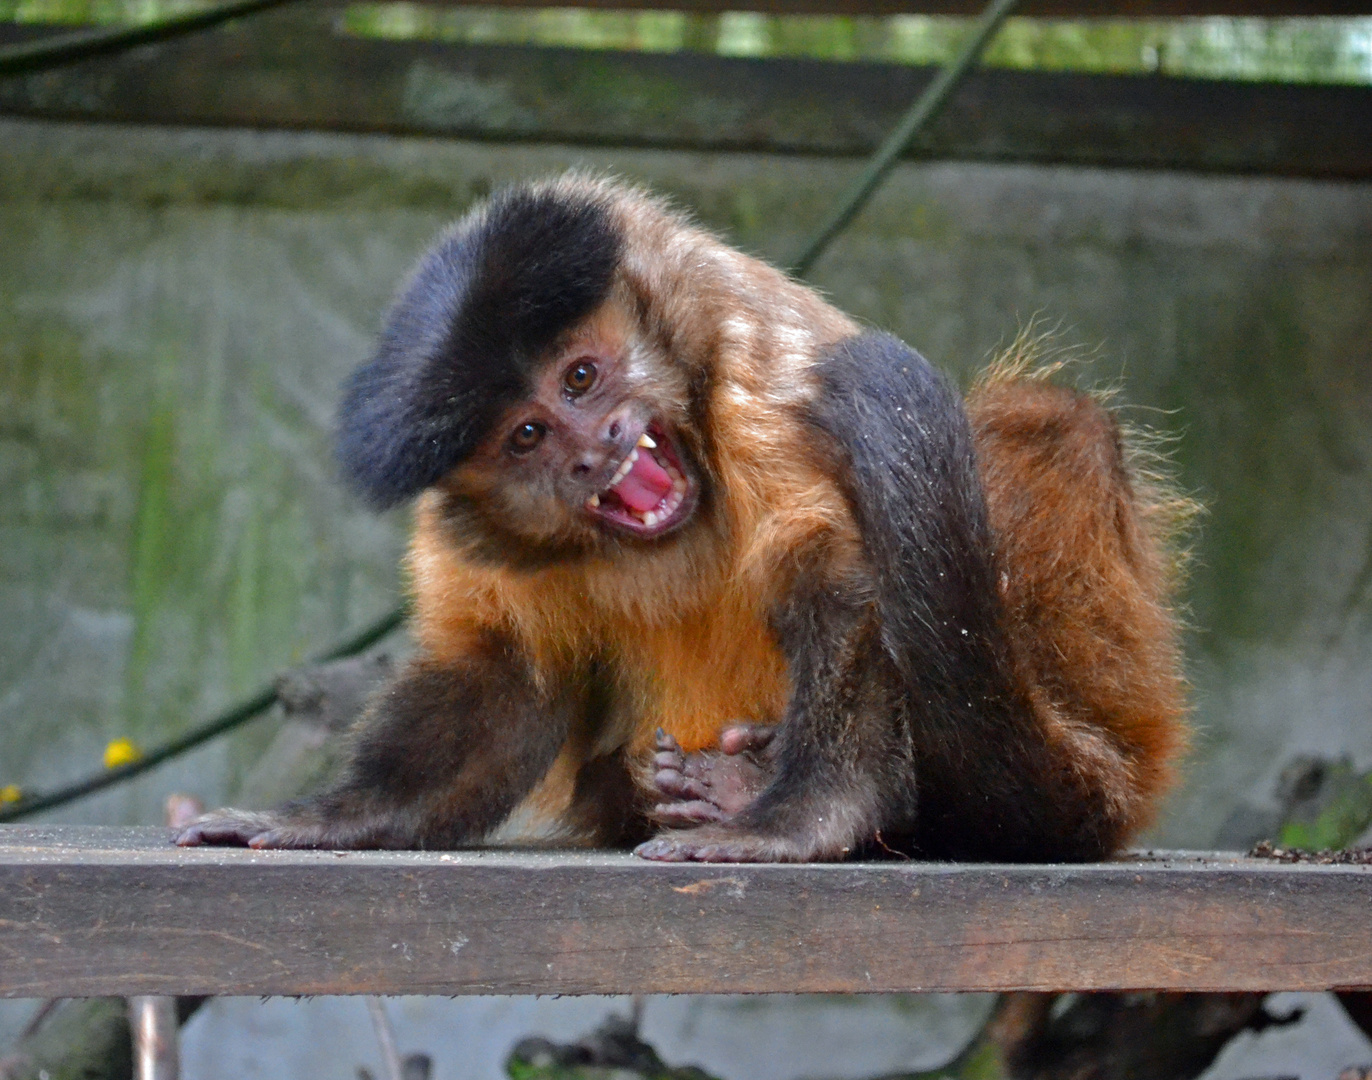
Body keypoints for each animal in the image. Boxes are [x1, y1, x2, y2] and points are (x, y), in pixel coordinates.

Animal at [179, 172, 1190, 867]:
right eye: (528, 436)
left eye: (583, 377)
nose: (597, 448)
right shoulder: (462, 528)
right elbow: (505, 679)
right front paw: (325, 820)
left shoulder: (754, 363)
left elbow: (836, 577)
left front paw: (802, 819)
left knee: (1051, 419)